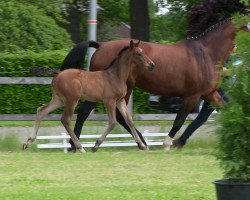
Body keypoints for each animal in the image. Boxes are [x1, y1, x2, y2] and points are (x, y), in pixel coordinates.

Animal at [61, 0, 248, 151]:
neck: (206, 54)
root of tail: (100, 45)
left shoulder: (209, 94)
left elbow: (226, 109)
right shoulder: (192, 96)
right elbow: (179, 120)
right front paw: (167, 144)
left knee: (119, 117)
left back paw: (141, 143)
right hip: (112, 89)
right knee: (87, 113)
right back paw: (76, 145)